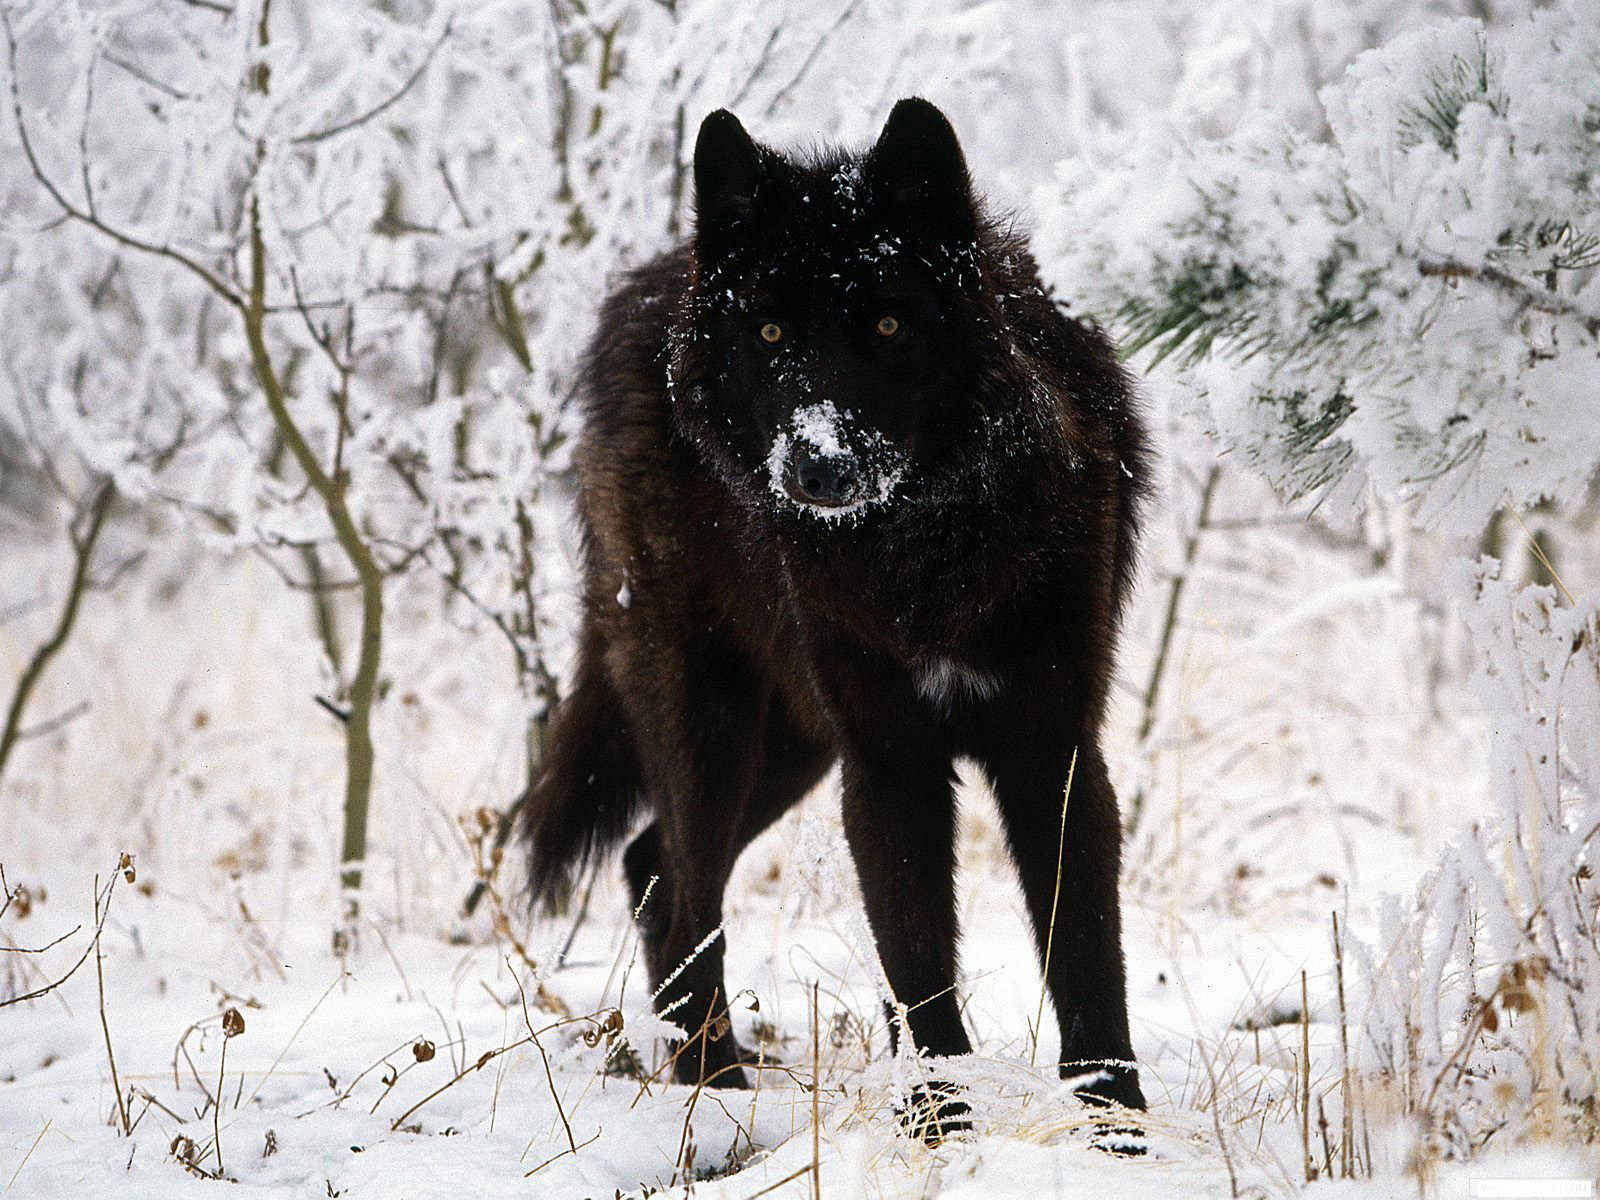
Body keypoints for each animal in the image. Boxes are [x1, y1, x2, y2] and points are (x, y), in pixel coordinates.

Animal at [524, 98, 1152, 1126]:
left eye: (890, 323)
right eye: (772, 334)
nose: (819, 467)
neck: (922, 555)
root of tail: (649, 285)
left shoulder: (1051, 750)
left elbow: (1087, 956)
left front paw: (1118, 1128)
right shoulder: (888, 762)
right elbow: (918, 965)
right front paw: (939, 1125)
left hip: (792, 745)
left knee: (651, 865)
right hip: (714, 727)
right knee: (682, 883)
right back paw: (715, 1090)